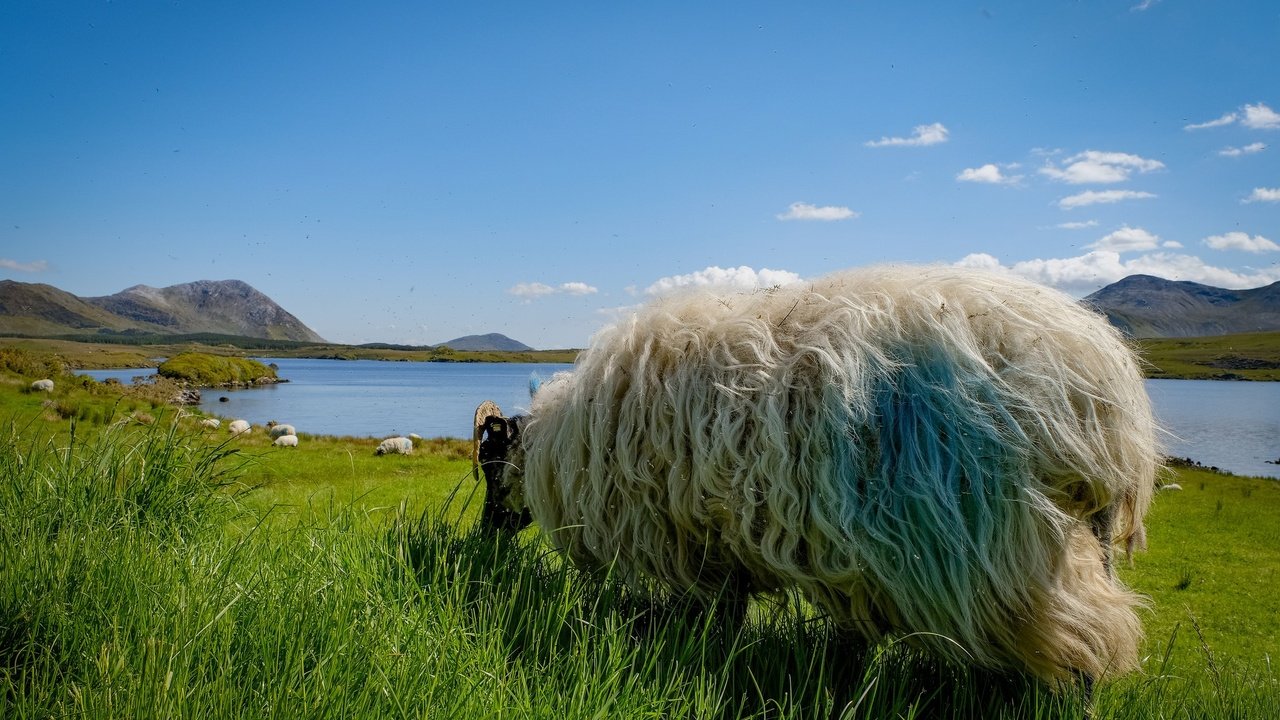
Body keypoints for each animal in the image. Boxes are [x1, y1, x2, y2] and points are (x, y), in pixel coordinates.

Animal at [478, 262, 1162, 681]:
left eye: (488, 466)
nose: (485, 536)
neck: (556, 446)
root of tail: (1105, 391)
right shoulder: (721, 539)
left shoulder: (690, 536)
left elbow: (714, 614)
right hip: (1071, 539)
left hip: (1004, 544)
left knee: (1080, 641)